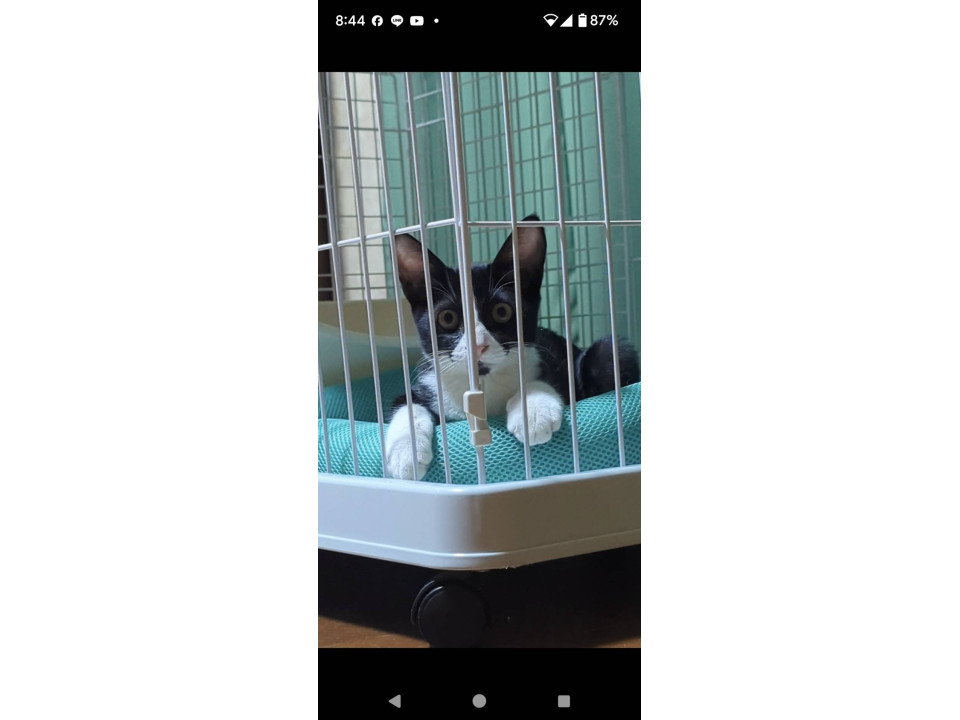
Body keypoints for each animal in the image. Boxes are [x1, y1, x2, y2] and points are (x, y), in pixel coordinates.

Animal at [384, 214, 640, 480]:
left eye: (502, 311)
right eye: (447, 318)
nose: (478, 345)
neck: (483, 383)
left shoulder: (553, 359)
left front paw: (534, 411)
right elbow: (406, 403)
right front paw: (406, 452)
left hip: (607, 352)